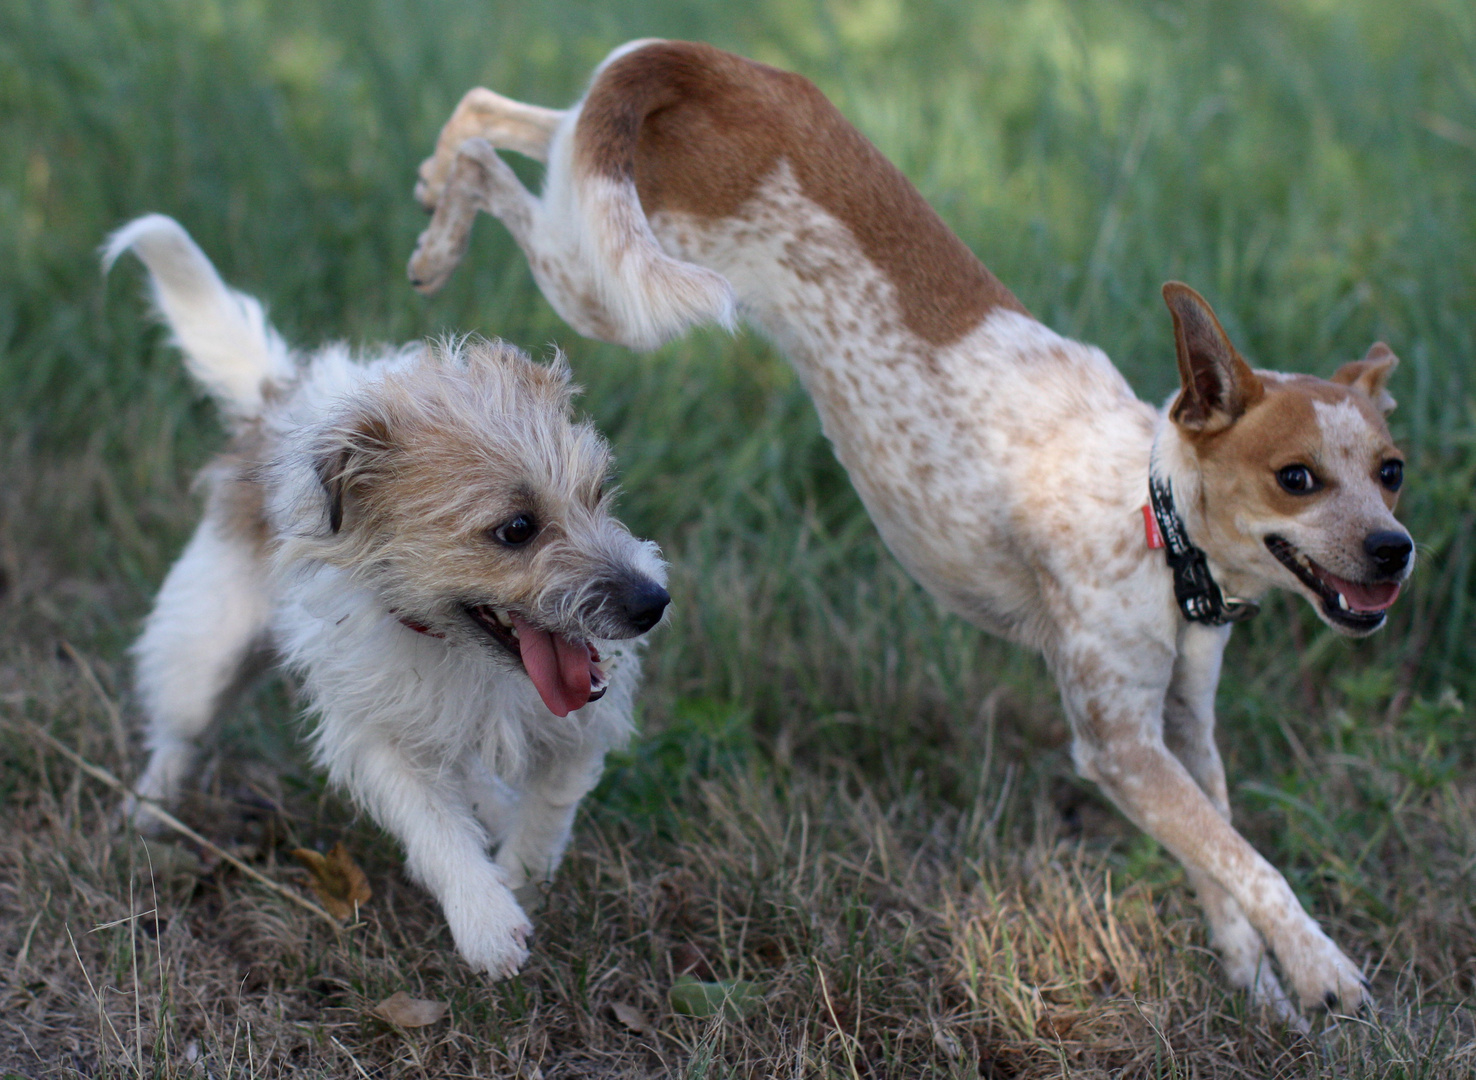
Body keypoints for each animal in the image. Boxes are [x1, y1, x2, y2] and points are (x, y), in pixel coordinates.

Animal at [109, 212, 670, 979]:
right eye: (516, 529)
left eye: (597, 496)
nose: (653, 604)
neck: (465, 655)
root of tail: (277, 399)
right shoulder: (377, 734)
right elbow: (434, 826)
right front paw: (487, 917)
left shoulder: (579, 725)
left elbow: (549, 807)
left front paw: (521, 872)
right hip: (204, 652)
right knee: (178, 729)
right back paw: (152, 806)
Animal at [407, 40, 1416, 1015]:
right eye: (1296, 478)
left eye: (1392, 473)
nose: (1395, 550)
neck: (1154, 517)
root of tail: (701, 62)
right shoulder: (1120, 746)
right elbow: (1252, 862)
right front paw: (1322, 969)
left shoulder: (1183, 727)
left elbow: (1221, 859)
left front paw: (1258, 978)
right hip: (610, 282)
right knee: (496, 159)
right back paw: (441, 233)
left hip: (591, 187)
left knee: (497, 113)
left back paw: (432, 200)